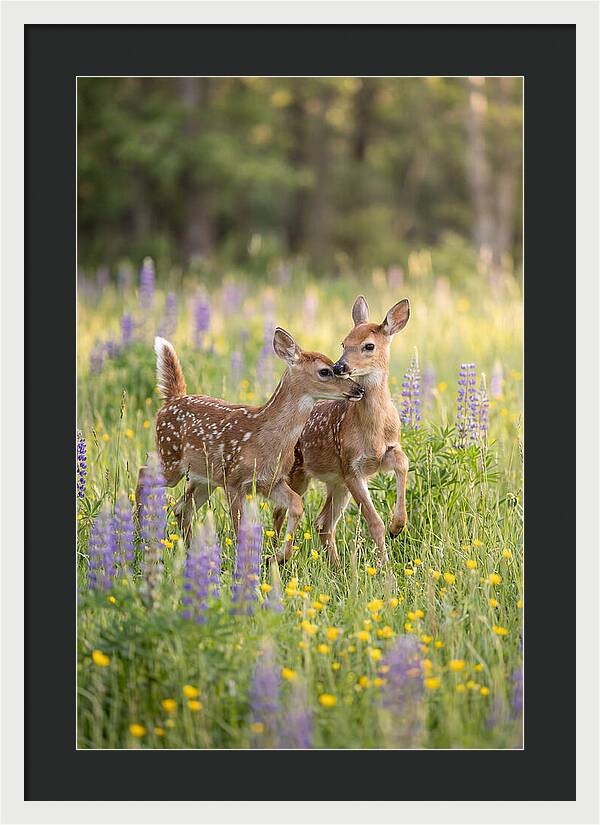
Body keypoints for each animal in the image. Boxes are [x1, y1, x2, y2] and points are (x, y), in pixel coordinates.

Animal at [136, 331, 364, 558]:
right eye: (325, 371)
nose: (359, 389)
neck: (264, 438)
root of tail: (172, 400)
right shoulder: (234, 481)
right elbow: (240, 528)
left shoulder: (271, 481)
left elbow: (296, 505)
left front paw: (278, 557)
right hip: (171, 458)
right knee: (144, 473)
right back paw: (139, 533)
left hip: (205, 478)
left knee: (182, 508)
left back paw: (190, 552)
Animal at [273, 296, 410, 568]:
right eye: (344, 343)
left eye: (369, 346)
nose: (339, 366)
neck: (374, 430)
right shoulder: (351, 467)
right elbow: (374, 522)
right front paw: (386, 568)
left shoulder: (384, 453)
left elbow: (403, 463)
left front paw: (398, 526)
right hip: (298, 474)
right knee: (280, 513)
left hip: (335, 483)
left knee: (323, 523)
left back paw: (336, 567)